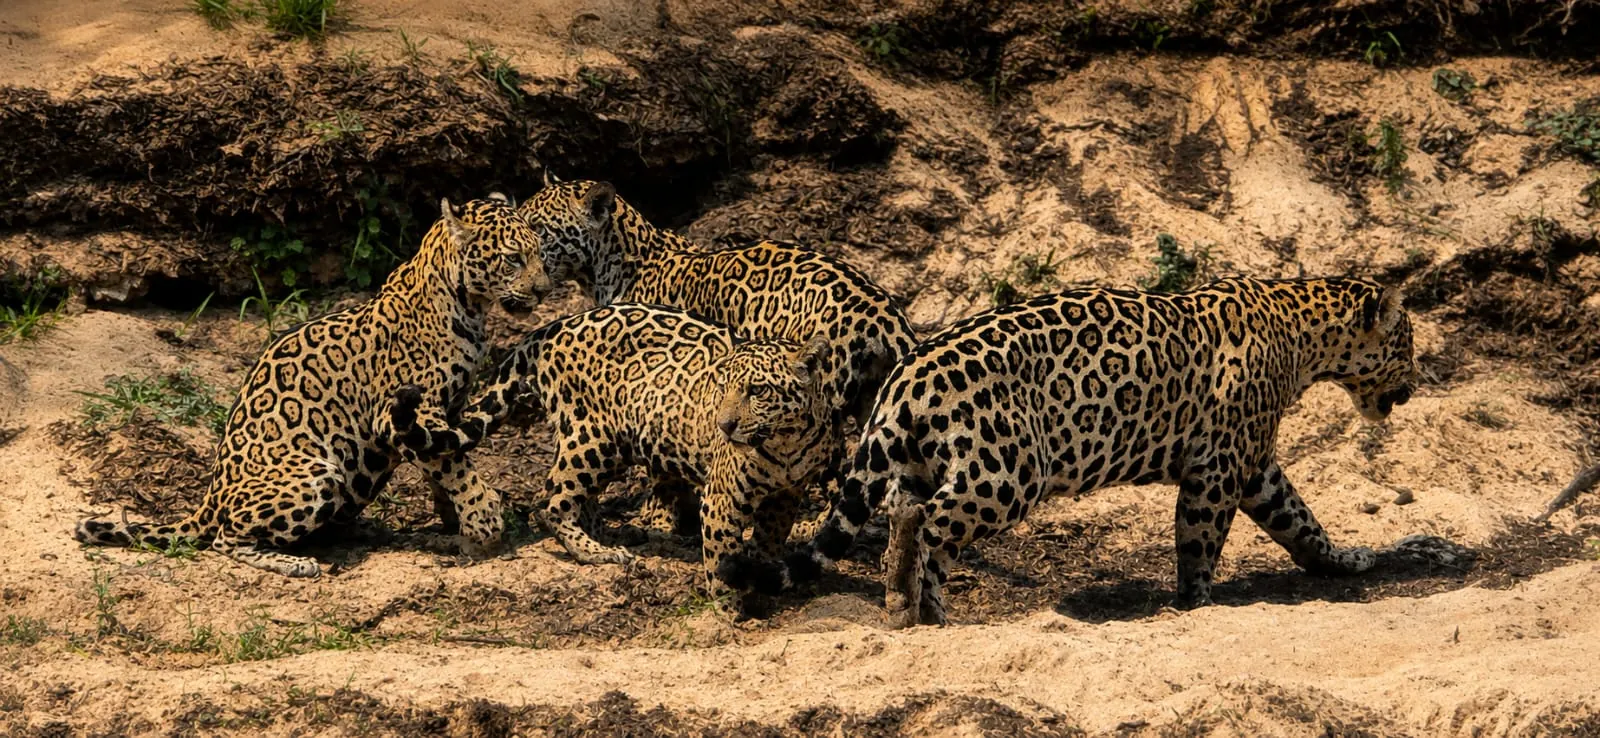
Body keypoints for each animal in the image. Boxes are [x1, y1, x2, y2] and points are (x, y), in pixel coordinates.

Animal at [73, 196, 553, 577]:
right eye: (513, 258)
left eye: (539, 254)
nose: (545, 290)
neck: (467, 306)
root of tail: (209, 497)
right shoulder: (406, 413)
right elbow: (453, 462)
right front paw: (482, 518)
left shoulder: (445, 412)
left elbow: (446, 462)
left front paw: (453, 521)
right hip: (316, 474)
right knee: (225, 539)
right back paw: (295, 563)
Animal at [386, 303, 835, 588]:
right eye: (722, 389)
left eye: (757, 391)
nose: (724, 425)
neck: (785, 443)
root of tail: (549, 328)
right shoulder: (721, 493)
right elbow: (723, 550)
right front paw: (731, 596)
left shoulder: (789, 491)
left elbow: (771, 536)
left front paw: (765, 570)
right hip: (592, 435)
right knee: (549, 500)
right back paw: (598, 552)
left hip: (611, 444)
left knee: (581, 498)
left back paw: (618, 535)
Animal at [515, 175, 918, 537]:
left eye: (539, 228)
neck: (610, 264)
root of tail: (882, 314)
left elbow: (659, 467)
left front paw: (659, 518)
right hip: (873, 403)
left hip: (822, 405)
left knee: (835, 473)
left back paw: (812, 527)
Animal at [720, 276, 1466, 627]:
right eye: (1404, 343)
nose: (1417, 380)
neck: (1301, 333)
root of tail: (906, 372)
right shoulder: (1221, 467)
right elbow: (1201, 542)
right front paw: (1196, 605)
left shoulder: (1254, 467)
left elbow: (1302, 522)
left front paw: (1345, 562)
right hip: (1007, 472)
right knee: (925, 527)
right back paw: (915, 608)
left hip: (928, 464)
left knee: (916, 526)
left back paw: (923, 612)